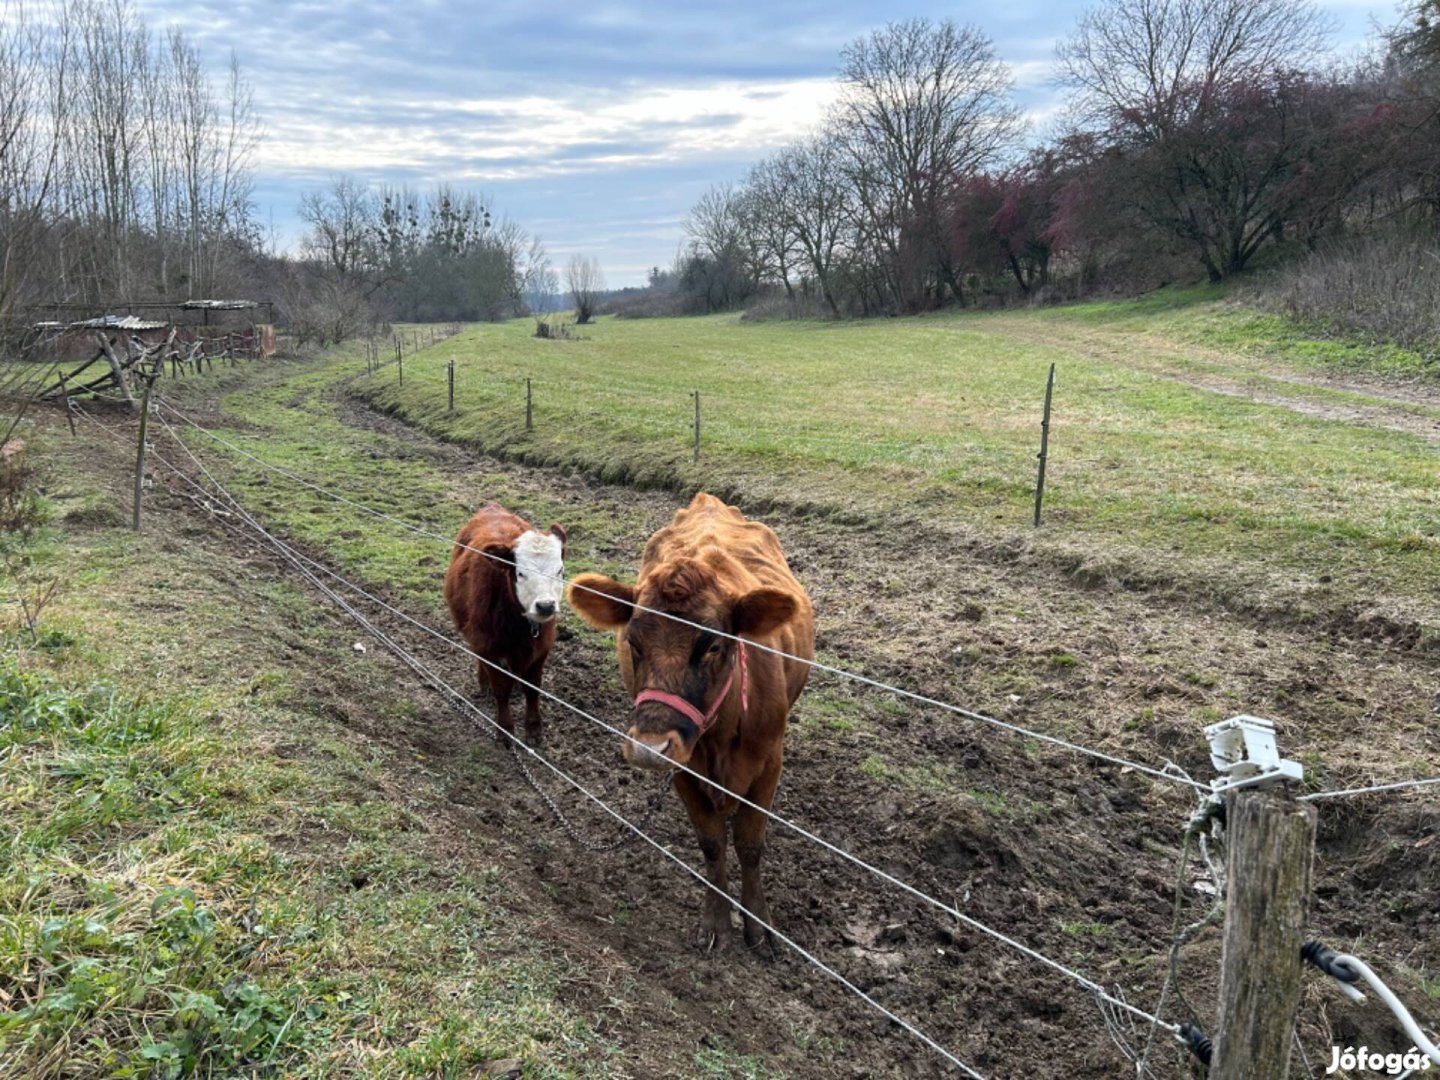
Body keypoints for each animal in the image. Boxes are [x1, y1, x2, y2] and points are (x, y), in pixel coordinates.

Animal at [443, 506, 567, 743]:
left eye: (559, 570)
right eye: (520, 572)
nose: (546, 606)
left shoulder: (542, 647)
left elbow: (533, 688)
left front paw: (533, 727)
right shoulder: (487, 646)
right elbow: (501, 688)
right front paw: (505, 730)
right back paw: (484, 682)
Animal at [564, 495, 812, 950]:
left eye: (713, 645)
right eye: (632, 641)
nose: (649, 746)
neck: (723, 735)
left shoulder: (769, 761)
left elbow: (750, 844)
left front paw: (758, 925)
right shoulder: (682, 765)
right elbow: (712, 842)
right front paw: (716, 921)